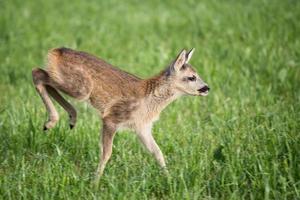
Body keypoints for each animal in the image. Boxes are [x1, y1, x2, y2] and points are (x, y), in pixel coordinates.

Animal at [31, 47, 209, 182]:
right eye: (191, 77)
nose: (207, 88)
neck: (149, 101)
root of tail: (56, 50)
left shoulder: (142, 127)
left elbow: (158, 152)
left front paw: (169, 178)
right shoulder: (112, 118)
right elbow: (107, 152)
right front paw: (95, 182)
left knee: (43, 76)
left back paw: (70, 118)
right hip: (80, 88)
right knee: (37, 73)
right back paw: (52, 121)